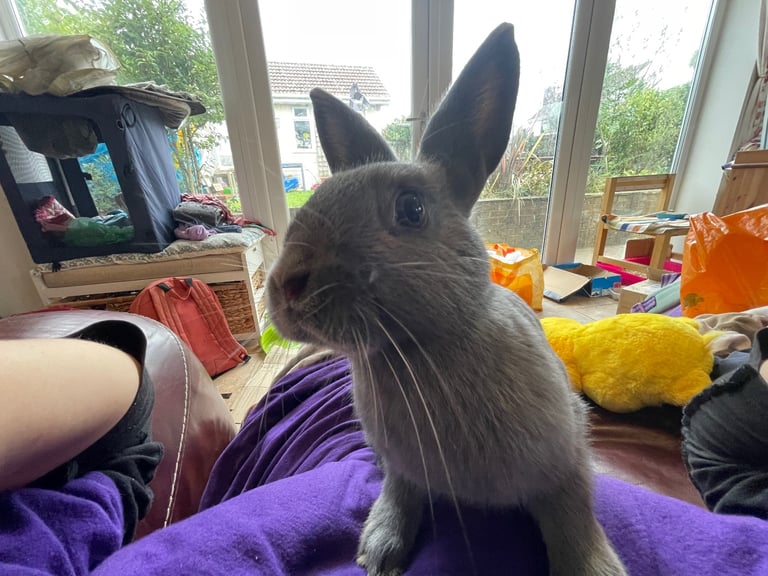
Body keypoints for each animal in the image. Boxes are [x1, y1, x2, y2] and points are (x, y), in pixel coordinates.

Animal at [266, 22, 626, 576]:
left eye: (412, 209)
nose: (286, 284)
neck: (418, 352)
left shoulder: (567, 462)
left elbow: (574, 519)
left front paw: (595, 567)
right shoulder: (402, 468)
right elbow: (400, 492)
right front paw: (379, 550)